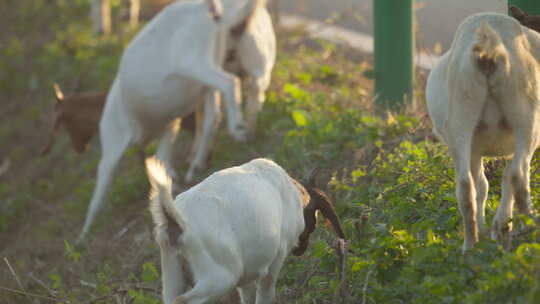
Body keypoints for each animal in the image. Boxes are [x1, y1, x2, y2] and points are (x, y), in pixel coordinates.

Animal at [79, 0, 264, 240]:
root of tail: (209, 10)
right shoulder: (169, 125)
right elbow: (163, 158)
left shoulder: (113, 142)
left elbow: (99, 190)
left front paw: (83, 235)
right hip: (208, 68)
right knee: (212, 117)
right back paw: (197, 164)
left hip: (193, 61)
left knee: (228, 82)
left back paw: (238, 128)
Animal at [146, 158, 346, 302]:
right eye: (314, 218)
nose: (300, 249)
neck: (293, 194)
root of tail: (176, 221)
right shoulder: (275, 259)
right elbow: (266, 293)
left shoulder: (247, 276)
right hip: (219, 278)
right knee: (183, 300)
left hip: (172, 272)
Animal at [428, 12, 536, 252]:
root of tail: (488, 43)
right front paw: (500, 227)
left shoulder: (475, 149)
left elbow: (482, 184)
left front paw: (493, 229)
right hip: (526, 116)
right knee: (517, 173)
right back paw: (529, 226)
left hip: (461, 116)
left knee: (465, 185)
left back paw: (470, 246)